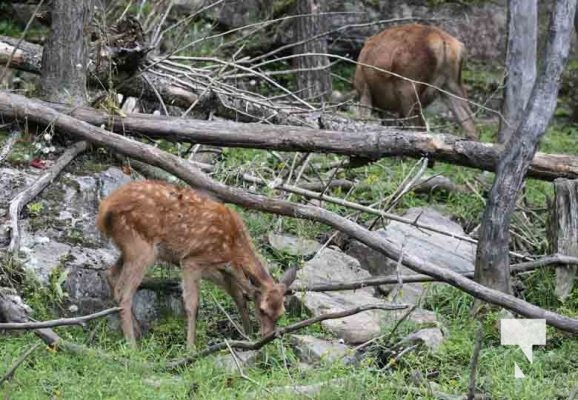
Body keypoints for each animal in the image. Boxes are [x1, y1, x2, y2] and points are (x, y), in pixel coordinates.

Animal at [97, 180, 294, 348]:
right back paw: (132, 345)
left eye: (281, 313)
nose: (267, 337)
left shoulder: (216, 267)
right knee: (125, 293)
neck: (232, 247)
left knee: (110, 275)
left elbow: (238, 295)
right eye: (262, 310)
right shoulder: (192, 260)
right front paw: (190, 348)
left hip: (130, 248)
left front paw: (247, 334)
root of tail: (105, 208)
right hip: (141, 248)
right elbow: (193, 304)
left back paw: (138, 332)